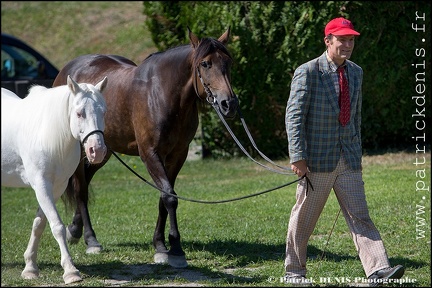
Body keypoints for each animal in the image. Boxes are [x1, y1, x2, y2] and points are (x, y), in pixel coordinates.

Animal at [1, 75, 108, 284]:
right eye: (79, 113)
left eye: (103, 112)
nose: (97, 151)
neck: (45, 134)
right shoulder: (41, 185)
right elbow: (57, 226)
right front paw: (70, 271)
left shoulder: (57, 187)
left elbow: (39, 224)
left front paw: (30, 268)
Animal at [53, 27, 240, 268]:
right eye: (205, 64)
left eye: (228, 62)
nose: (229, 104)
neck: (163, 94)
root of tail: (66, 71)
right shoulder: (150, 154)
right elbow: (169, 197)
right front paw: (175, 249)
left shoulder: (177, 155)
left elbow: (165, 197)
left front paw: (161, 244)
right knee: (80, 187)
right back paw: (90, 239)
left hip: (103, 150)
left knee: (85, 179)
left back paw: (75, 230)